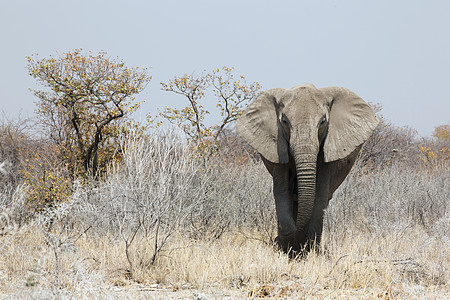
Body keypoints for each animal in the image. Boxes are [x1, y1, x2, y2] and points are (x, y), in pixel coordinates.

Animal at [237, 82, 378, 253]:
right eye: (284, 121)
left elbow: (320, 193)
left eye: (323, 121)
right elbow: (281, 190)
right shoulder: (278, 147)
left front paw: (307, 248)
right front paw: (286, 246)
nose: (279, 240)